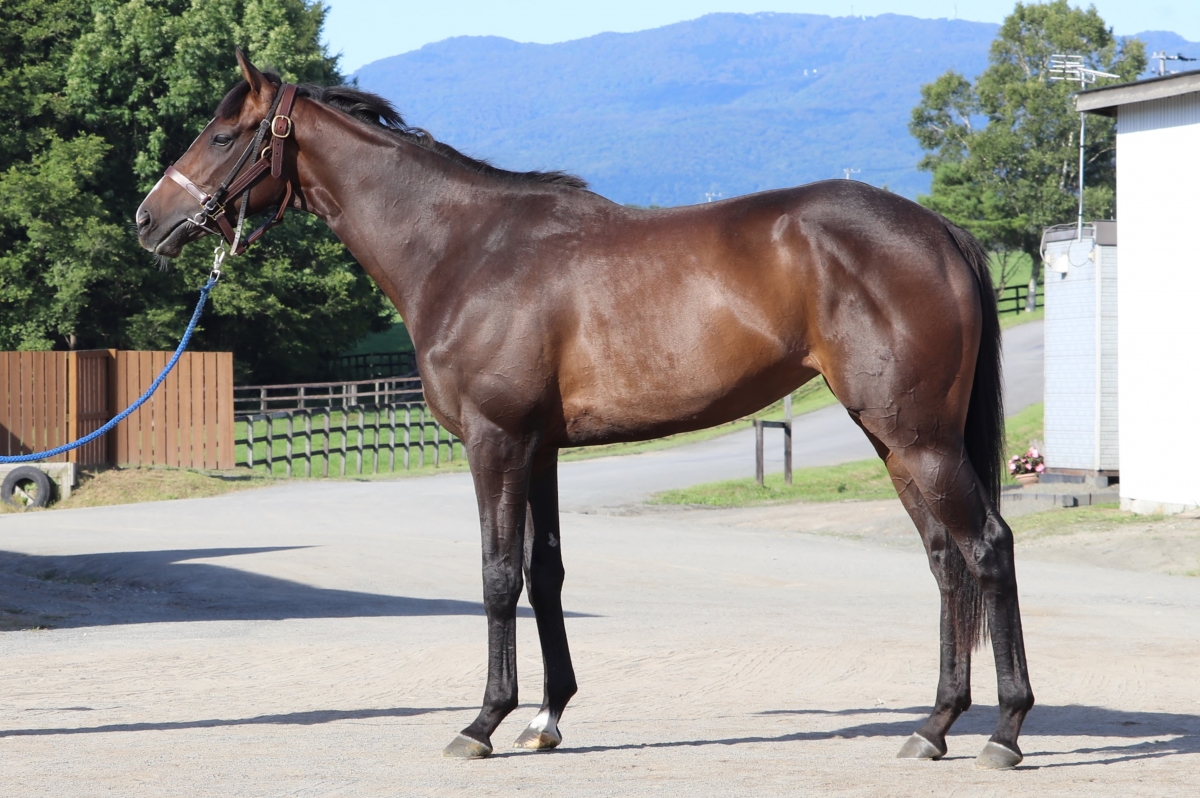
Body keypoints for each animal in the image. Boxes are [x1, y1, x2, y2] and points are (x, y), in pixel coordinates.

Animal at [136, 52, 1033, 770]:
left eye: (224, 136)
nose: (149, 221)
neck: (463, 250)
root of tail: (938, 230)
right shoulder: (539, 449)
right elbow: (546, 573)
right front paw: (546, 717)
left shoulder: (495, 443)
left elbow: (498, 575)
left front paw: (483, 722)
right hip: (894, 439)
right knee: (946, 562)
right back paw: (933, 726)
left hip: (917, 437)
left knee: (987, 547)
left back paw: (1004, 731)